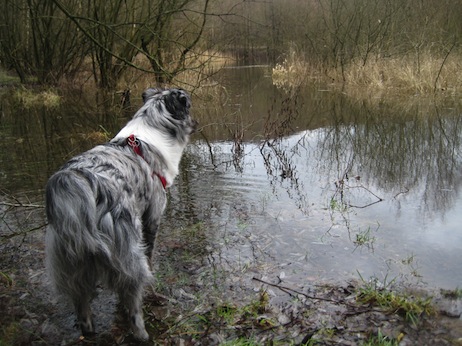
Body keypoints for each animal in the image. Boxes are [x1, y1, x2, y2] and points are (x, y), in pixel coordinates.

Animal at [46, 88, 197, 340]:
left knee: (82, 305)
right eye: (189, 106)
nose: (196, 123)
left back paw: (89, 331)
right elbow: (150, 254)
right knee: (132, 299)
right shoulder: (152, 217)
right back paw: (142, 334)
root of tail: (78, 185)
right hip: (127, 250)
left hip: (73, 262)